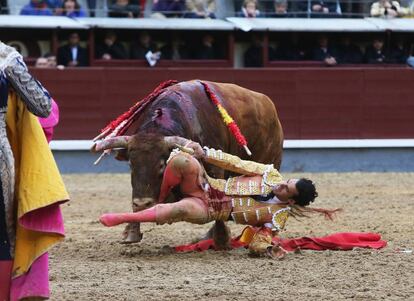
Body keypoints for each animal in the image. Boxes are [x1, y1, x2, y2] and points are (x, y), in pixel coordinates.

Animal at [92, 79, 284, 246]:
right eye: (131, 165)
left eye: (161, 166)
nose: (142, 204)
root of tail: (270, 107)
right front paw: (131, 233)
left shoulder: (214, 170)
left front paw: (222, 240)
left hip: (271, 162)